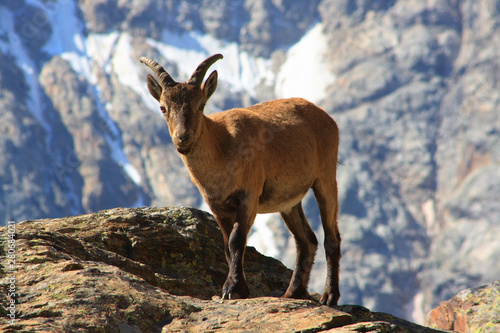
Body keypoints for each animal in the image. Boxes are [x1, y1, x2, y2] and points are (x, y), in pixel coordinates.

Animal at [141, 53, 344, 304]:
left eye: (200, 105)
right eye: (163, 107)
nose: (183, 137)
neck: (222, 146)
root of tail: (328, 118)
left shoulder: (249, 196)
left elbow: (237, 240)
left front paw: (232, 289)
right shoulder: (217, 206)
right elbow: (227, 246)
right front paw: (240, 288)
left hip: (325, 178)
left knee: (331, 237)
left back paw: (329, 295)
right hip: (288, 201)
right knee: (307, 240)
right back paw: (292, 292)